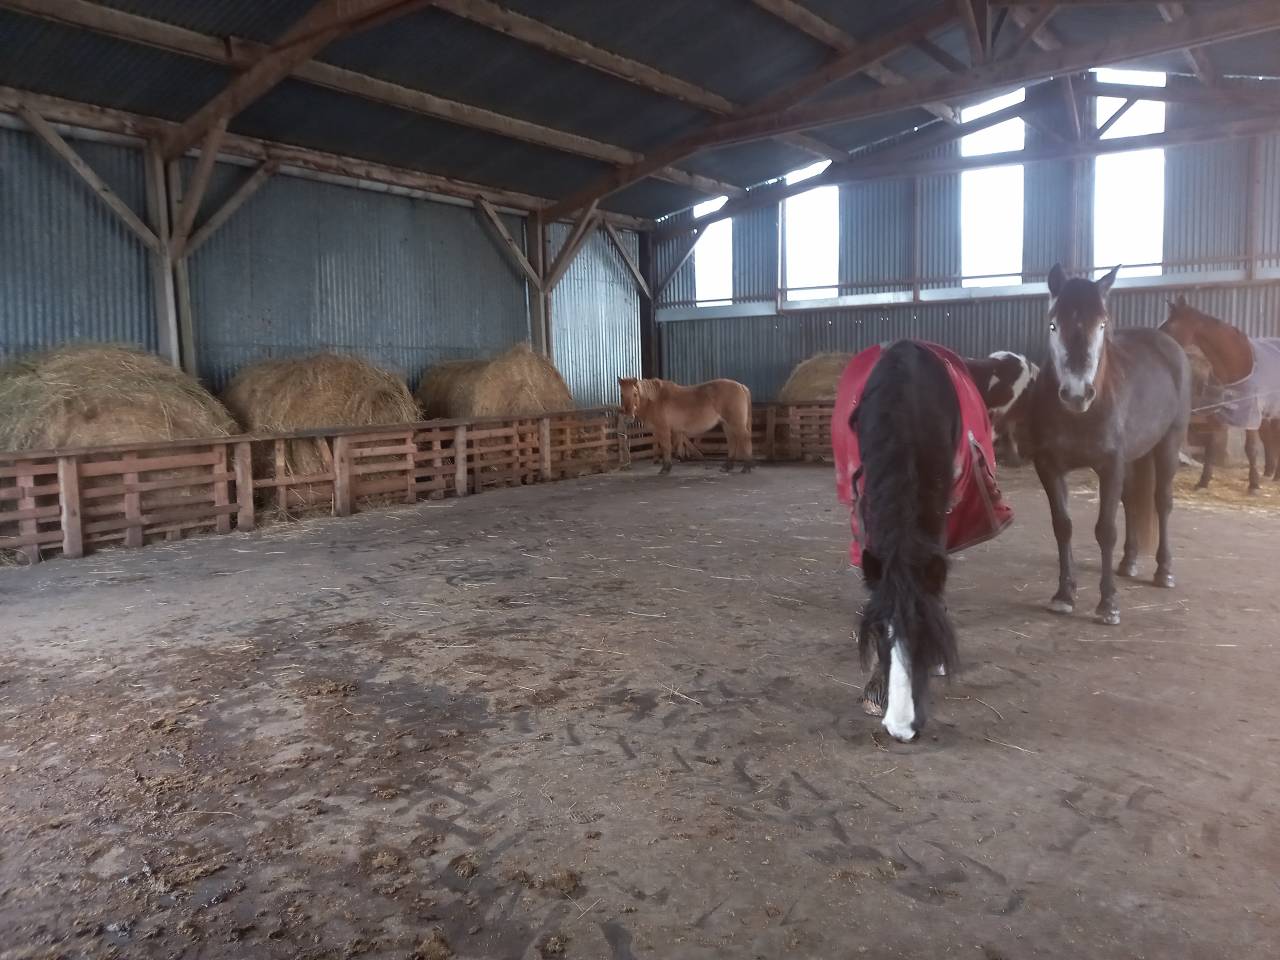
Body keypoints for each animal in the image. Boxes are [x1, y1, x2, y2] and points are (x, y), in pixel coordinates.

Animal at [618, 377, 754, 474]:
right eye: (622, 395)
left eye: (635, 393)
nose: (628, 418)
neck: (655, 400)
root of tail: (741, 386)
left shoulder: (663, 430)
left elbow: (666, 447)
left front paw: (665, 469)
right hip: (726, 424)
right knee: (732, 441)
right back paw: (727, 466)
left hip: (736, 423)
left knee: (745, 439)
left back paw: (746, 467)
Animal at [1028, 264, 1191, 626]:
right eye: (1053, 324)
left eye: (1102, 324)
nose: (1077, 393)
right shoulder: (1049, 467)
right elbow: (1063, 526)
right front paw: (1064, 595)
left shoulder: (1109, 465)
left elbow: (1105, 530)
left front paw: (1108, 604)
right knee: (1131, 501)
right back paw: (1128, 563)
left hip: (1169, 442)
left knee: (1162, 502)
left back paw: (1164, 572)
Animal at [1159, 297, 1280, 494]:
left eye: (1169, 328)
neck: (1237, 363)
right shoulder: (1216, 413)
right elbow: (1211, 446)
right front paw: (1203, 481)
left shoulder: (1250, 414)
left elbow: (1251, 449)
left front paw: (1253, 484)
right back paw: (1273, 474)